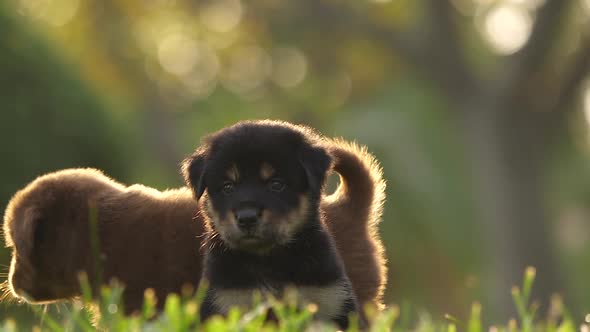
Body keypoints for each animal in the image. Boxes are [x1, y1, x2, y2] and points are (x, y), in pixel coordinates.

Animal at [182, 120, 360, 328]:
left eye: (276, 184)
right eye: (228, 187)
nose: (247, 218)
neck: (268, 260)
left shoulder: (331, 299)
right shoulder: (226, 300)